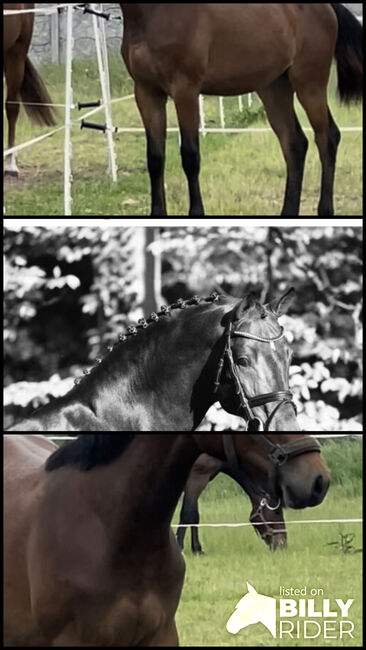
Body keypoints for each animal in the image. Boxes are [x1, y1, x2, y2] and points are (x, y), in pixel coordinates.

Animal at [121, 3, 364, 215]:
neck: (156, 13)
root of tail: (327, 8)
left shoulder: (185, 91)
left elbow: (190, 156)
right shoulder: (147, 93)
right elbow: (155, 158)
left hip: (310, 84)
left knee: (327, 138)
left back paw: (325, 210)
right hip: (274, 89)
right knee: (294, 144)